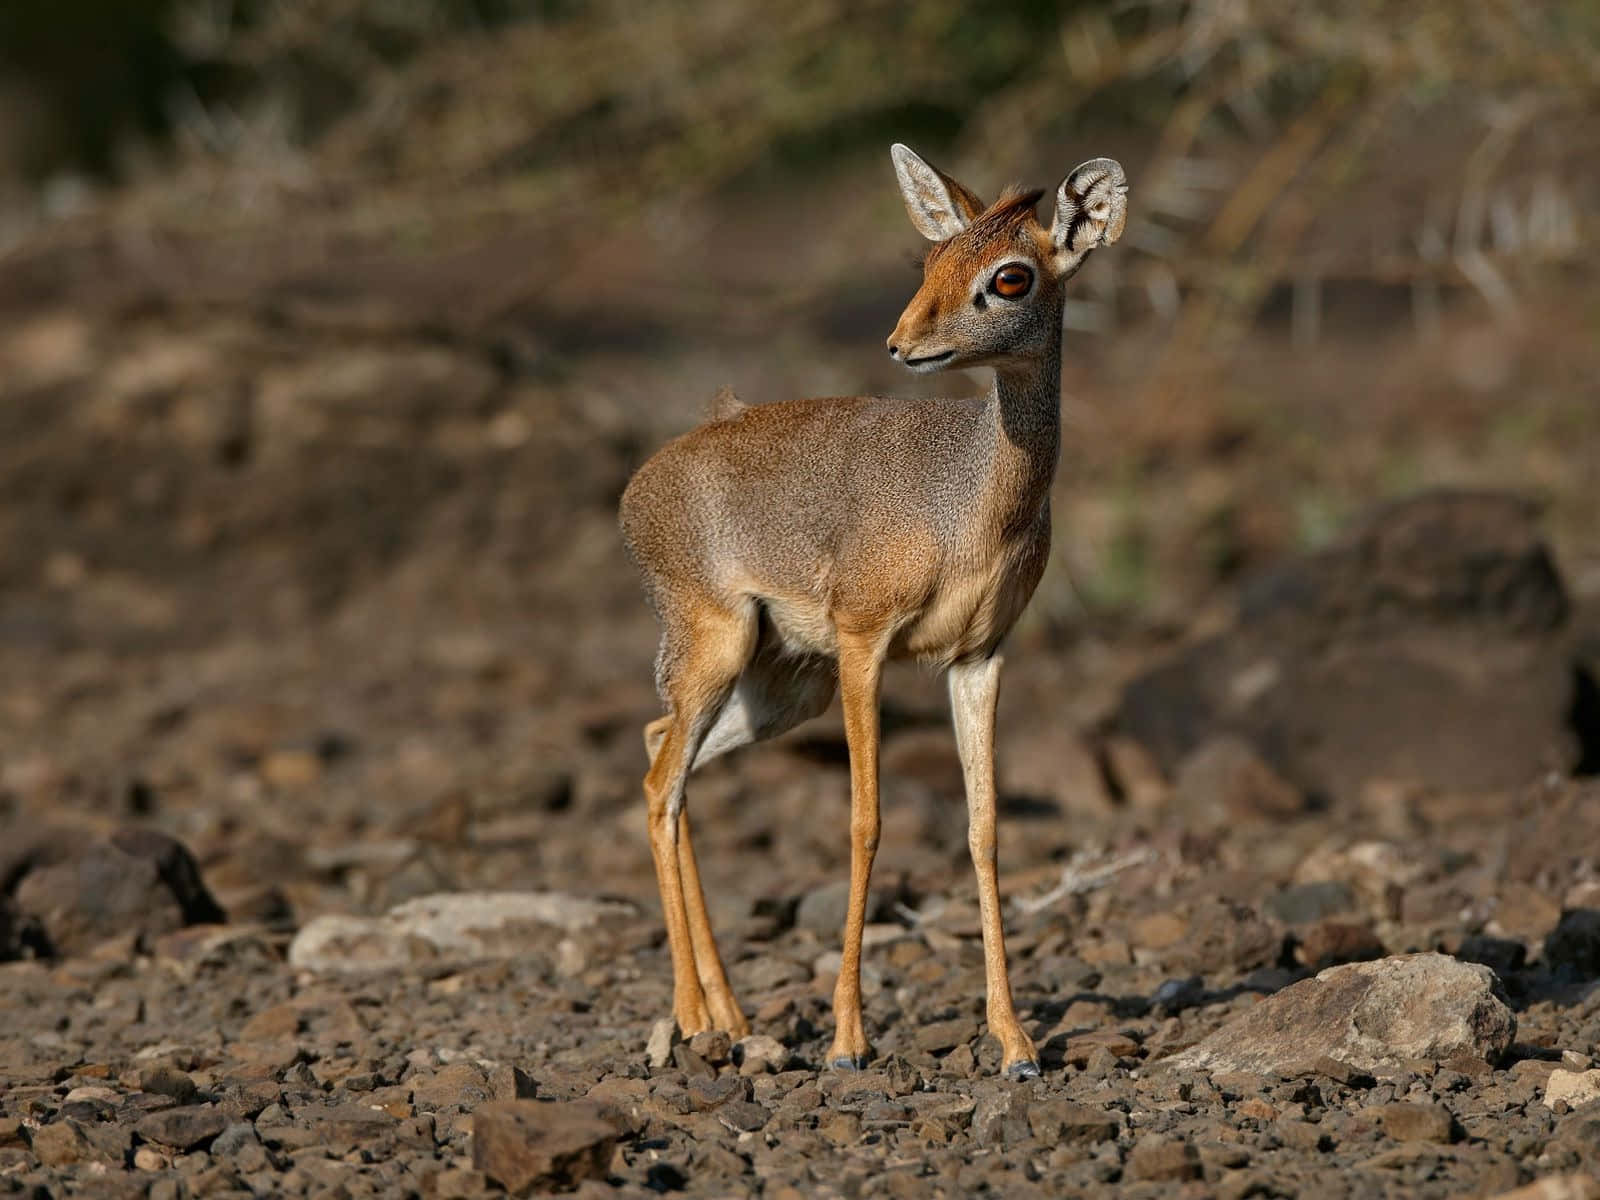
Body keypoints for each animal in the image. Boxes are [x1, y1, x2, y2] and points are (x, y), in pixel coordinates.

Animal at [617, 143, 1132, 1081]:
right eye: (930, 260)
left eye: (1010, 276)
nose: (902, 344)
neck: (967, 504)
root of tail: (643, 482)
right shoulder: (866, 644)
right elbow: (865, 822)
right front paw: (849, 1041)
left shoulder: (979, 658)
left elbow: (984, 828)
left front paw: (1015, 1043)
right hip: (720, 648)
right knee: (658, 784)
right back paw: (693, 1020)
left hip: (781, 686)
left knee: (656, 748)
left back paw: (732, 1016)